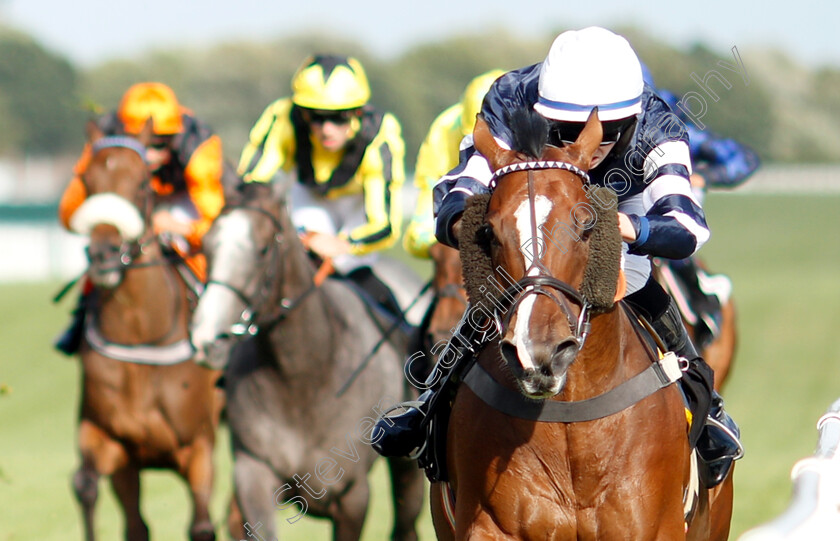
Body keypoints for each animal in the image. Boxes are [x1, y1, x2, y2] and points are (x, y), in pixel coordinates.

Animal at [70, 121, 220, 540]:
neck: (140, 336)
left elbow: (202, 525)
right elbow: (86, 486)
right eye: (86, 180)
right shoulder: (110, 441)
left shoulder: (198, 445)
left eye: (141, 183)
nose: (103, 254)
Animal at [190, 178, 426, 540]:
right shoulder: (253, 473)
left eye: (262, 250)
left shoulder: (352, 495)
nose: (207, 340)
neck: (304, 376)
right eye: (207, 246)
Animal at [430, 112, 732, 536]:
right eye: (488, 231)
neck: (571, 417)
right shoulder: (490, 525)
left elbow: (683, 221)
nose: (538, 353)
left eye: (586, 224)